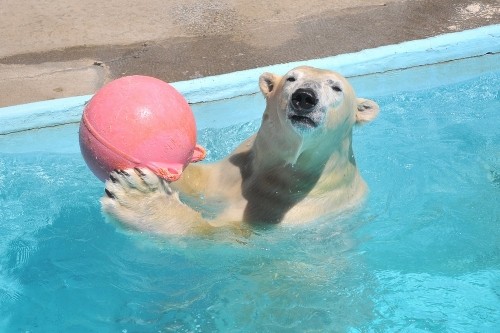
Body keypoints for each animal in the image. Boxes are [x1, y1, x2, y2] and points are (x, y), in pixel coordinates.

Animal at [100, 66, 378, 235]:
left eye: (336, 88)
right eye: (291, 78)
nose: (305, 97)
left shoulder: (288, 209)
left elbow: (217, 233)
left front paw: (137, 198)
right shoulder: (237, 167)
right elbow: (203, 181)